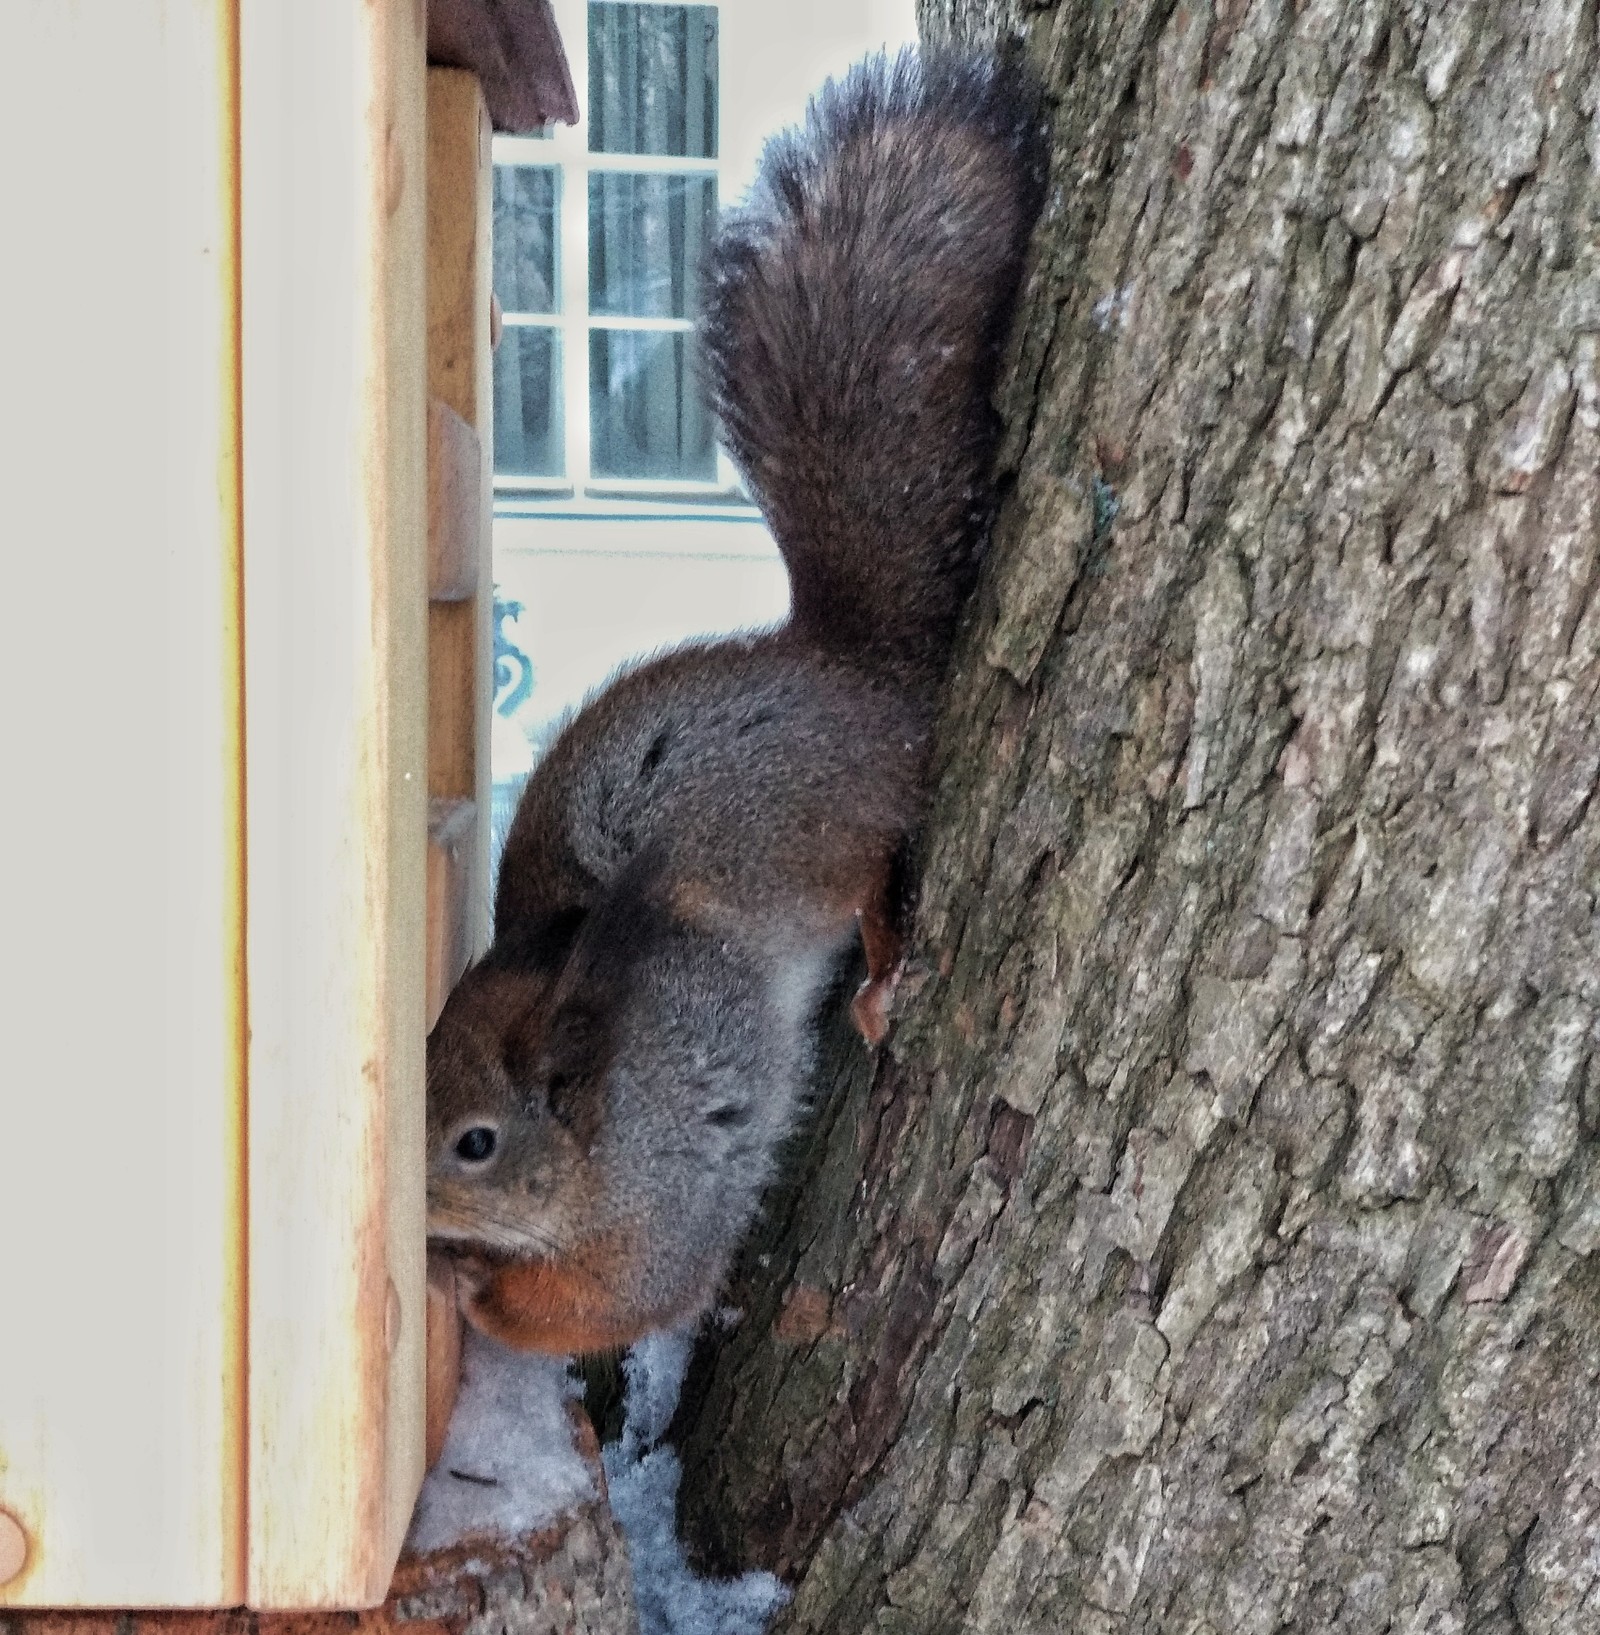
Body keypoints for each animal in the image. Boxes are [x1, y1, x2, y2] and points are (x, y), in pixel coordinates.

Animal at [424, 47, 1052, 1353]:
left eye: (476, 1144)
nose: (401, 1215)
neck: (597, 1137)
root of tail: (853, 676)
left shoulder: (658, 1209)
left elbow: (594, 1308)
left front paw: (463, 1283)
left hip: (800, 830)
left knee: (870, 870)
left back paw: (880, 977)